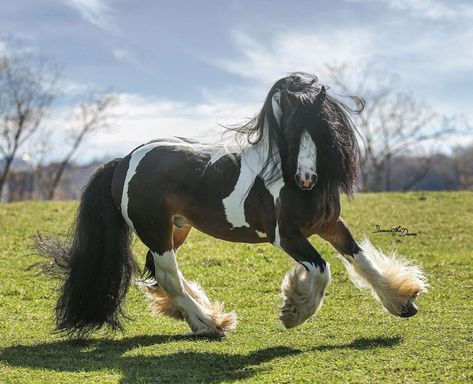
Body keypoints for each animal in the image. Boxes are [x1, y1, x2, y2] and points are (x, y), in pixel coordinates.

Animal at [37, 73, 428, 340]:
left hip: (177, 229)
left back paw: (202, 316)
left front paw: (403, 302)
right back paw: (208, 325)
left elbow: (361, 260)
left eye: (320, 129)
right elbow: (321, 271)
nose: (305, 177)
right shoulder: (286, 236)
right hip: (157, 231)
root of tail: (125, 160)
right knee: (167, 275)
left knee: (162, 275)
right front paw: (293, 310)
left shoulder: (331, 225)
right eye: (289, 131)